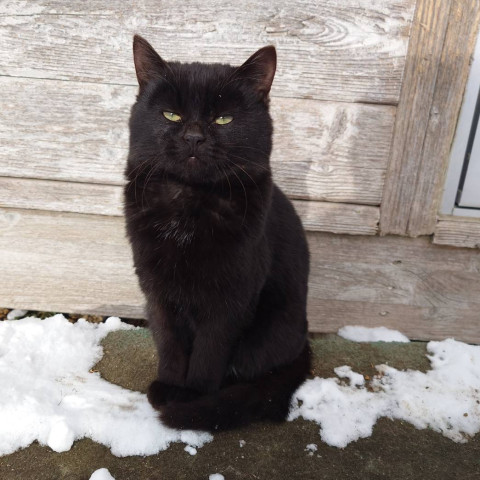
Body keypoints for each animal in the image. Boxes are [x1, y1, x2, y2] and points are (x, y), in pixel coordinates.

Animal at [124, 34, 311, 431]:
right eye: (172, 115)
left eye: (223, 118)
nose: (194, 137)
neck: (189, 200)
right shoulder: (157, 289)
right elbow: (169, 340)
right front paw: (168, 385)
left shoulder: (231, 295)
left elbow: (210, 349)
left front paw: (193, 397)